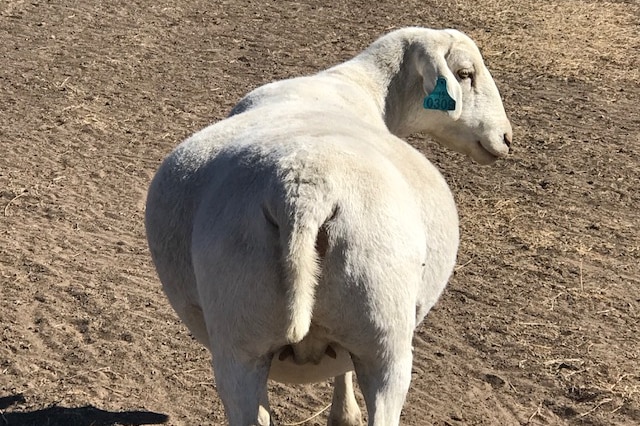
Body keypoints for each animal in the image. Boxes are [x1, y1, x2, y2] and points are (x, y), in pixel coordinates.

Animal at [146, 27, 516, 426]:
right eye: (465, 73)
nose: (506, 138)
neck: (362, 88)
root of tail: (303, 190)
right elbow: (343, 369)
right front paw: (345, 414)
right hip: (385, 341)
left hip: (238, 342)